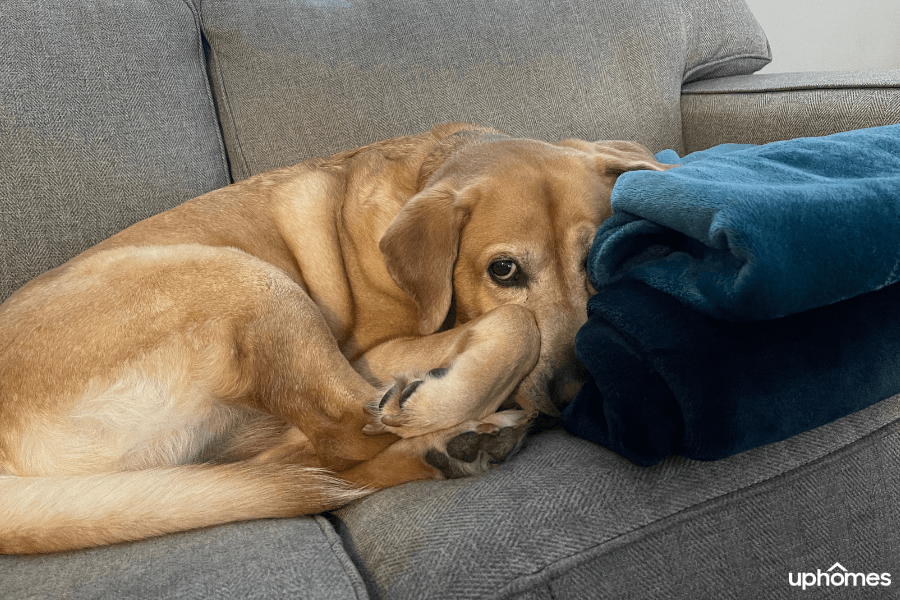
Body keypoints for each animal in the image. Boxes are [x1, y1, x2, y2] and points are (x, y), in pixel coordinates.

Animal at [0, 122, 668, 552]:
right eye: (503, 270)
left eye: (595, 259)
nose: (577, 392)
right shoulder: (374, 353)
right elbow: (517, 323)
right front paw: (436, 396)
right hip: (245, 279)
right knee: (344, 430)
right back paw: (447, 429)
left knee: (308, 464)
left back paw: (452, 448)